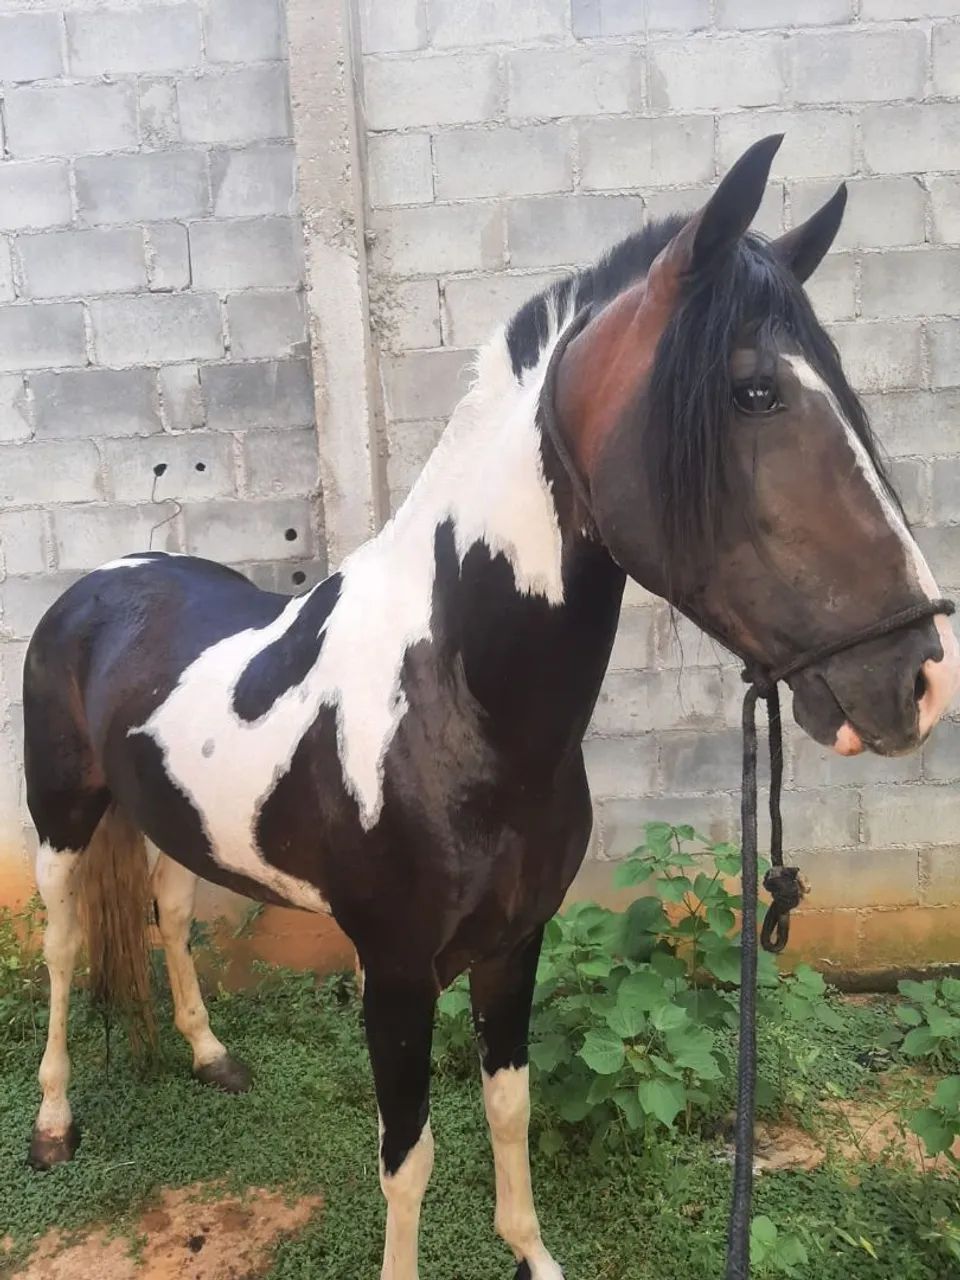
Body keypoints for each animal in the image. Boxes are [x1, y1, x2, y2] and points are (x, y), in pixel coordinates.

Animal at [21, 134, 960, 1280]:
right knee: (65, 946)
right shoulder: (394, 972)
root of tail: (104, 580)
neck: (459, 715)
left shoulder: (516, 944)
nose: (920, 677)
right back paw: (54, 1122)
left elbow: (509, 1109)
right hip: (62, 821)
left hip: (171, 821)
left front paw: (532, 1255)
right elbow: (408, 1156)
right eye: (752, 393)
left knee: (168, 910)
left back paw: (209, 1054)